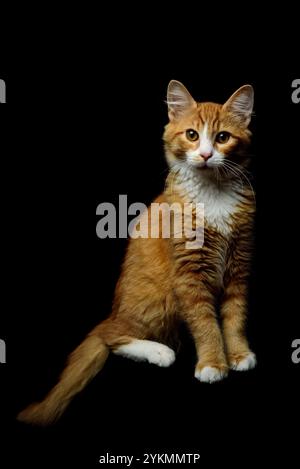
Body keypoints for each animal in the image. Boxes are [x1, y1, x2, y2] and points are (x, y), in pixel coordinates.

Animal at [18, 80, 255, 424]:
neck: (214, 195)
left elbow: (234, 317)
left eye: (222, 137)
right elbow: (206, 324)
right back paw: (160, 352)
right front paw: (213, 363)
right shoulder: (189, 277)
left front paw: (238, 354)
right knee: (109, 336)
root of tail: (115, 310)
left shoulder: (238, 266)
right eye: (192, 135)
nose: (206, 154)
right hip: (159, 298)